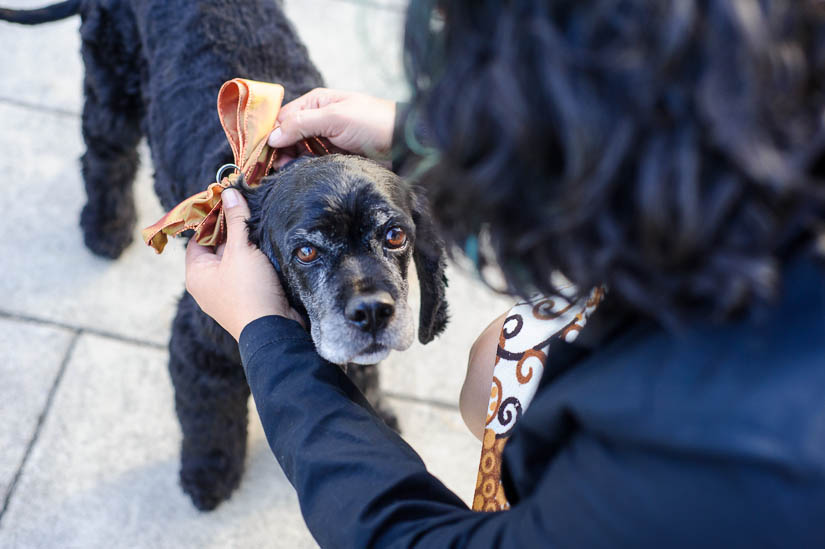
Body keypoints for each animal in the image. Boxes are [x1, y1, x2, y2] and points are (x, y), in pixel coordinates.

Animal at [1, 0, 444, 510]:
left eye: (394, 236)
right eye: (306, 251)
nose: (373, 312)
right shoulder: (200, 343)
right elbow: (208, 415)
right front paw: (208, 475)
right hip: (110, 86)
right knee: (104, 153)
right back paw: (105, 230)